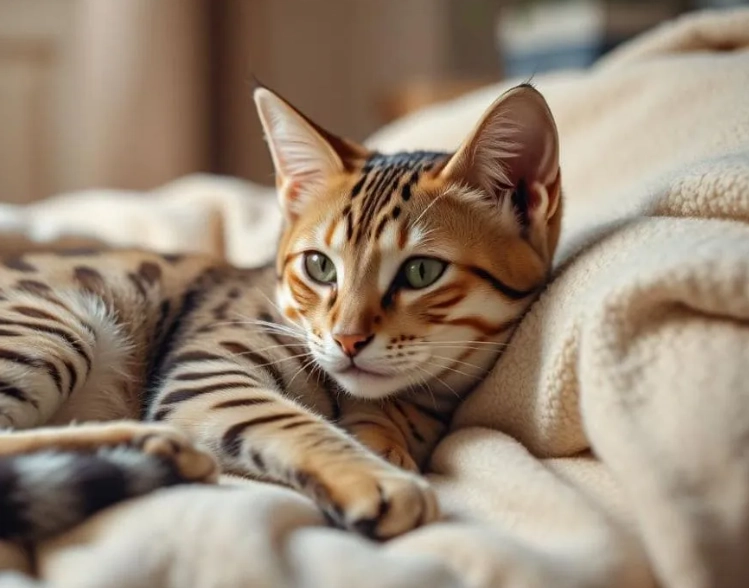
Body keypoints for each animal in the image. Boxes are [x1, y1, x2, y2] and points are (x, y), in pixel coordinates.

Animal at [0, 82, 562, 543]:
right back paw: (151, 444)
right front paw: (376, 477)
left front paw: (385, 444)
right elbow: (292, 420)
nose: (347, 340)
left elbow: (380, 425)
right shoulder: (208, 368)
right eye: (319, 265)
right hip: (56, 324)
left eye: (422, 271)